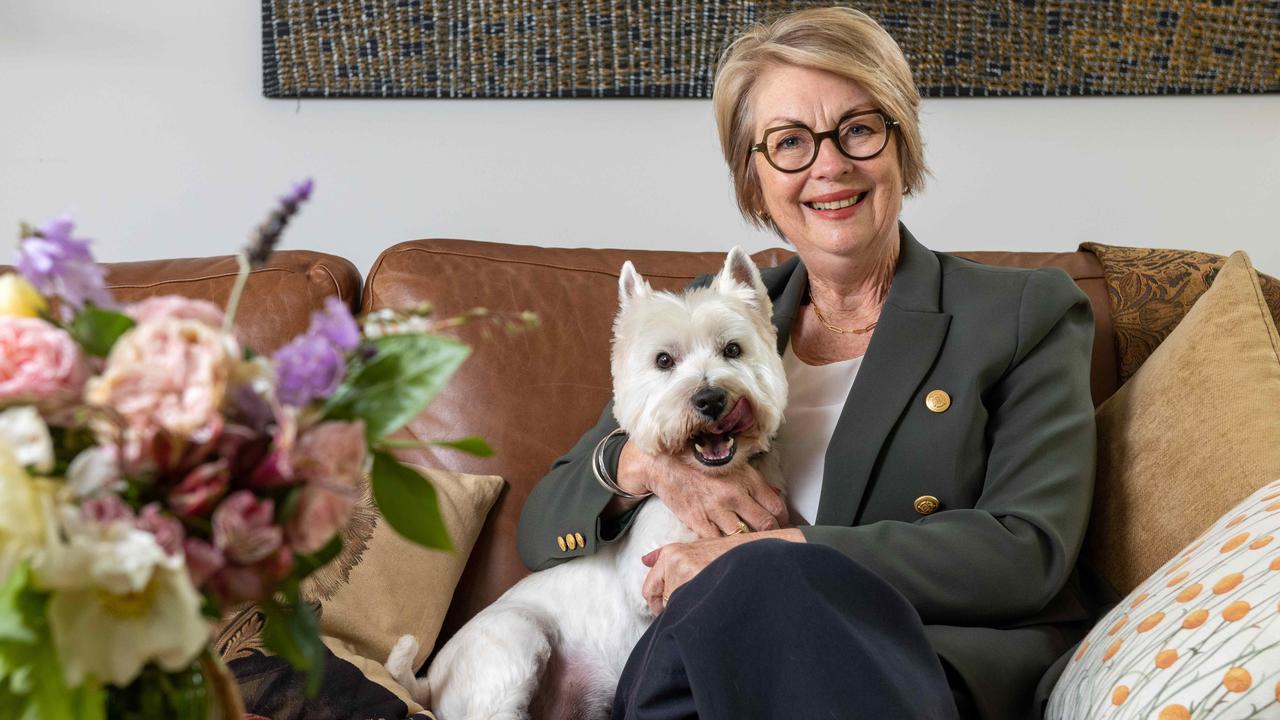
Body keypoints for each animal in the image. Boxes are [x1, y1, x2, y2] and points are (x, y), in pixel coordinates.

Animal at [386, 248, 788, 717]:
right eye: (663, 360)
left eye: (733, 349)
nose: (710, 398)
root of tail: (428, 684)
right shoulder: (650, 577)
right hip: (517, 635)